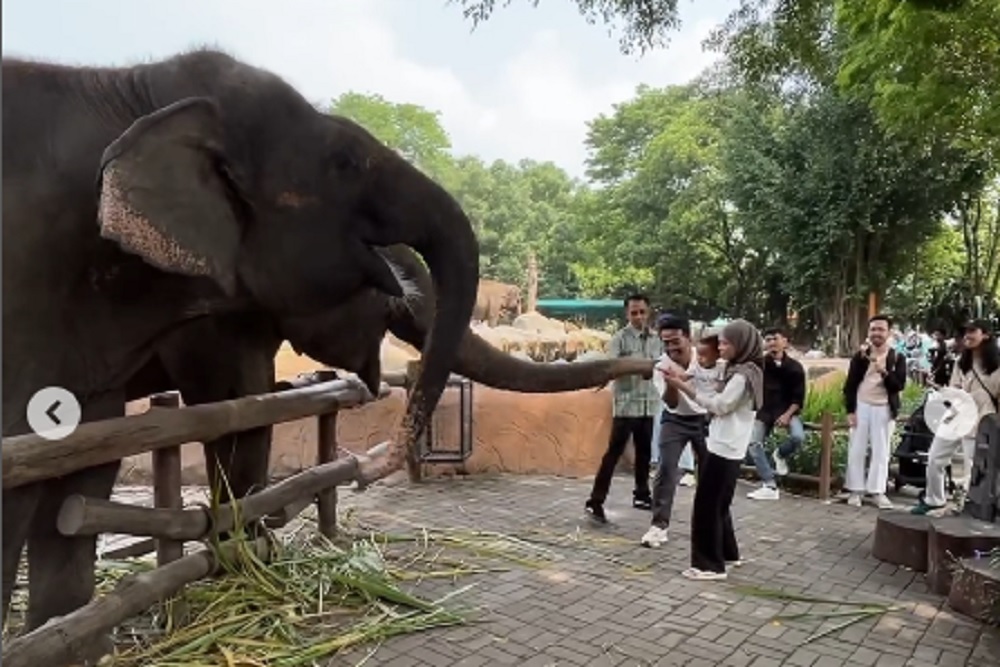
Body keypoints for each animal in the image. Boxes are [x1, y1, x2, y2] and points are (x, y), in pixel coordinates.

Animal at [1, 49, 480, 644]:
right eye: (344, 161)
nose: (366, 466)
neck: (137, 91)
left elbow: (84, 469)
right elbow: (234, 406)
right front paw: (245, 559)